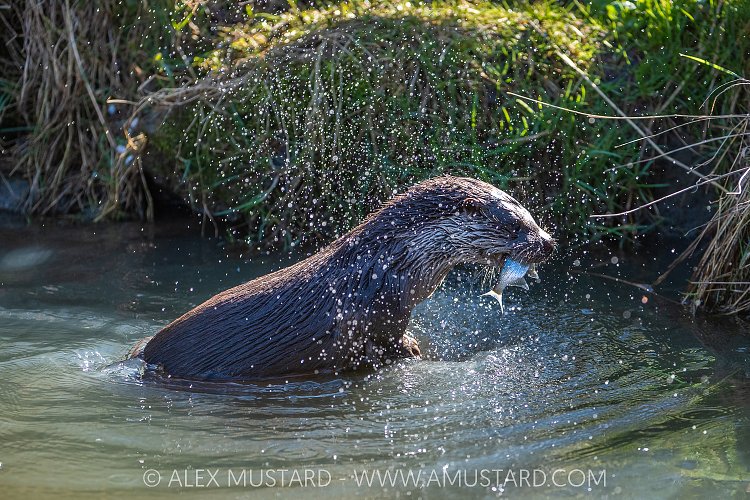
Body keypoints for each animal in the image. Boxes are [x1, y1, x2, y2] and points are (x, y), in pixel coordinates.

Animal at [132, 176, 555, 380]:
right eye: (516, 226)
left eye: (532, 216)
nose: (548, 243)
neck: (386, 266)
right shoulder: (380, 311)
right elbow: (387, 342)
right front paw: (411, 349)